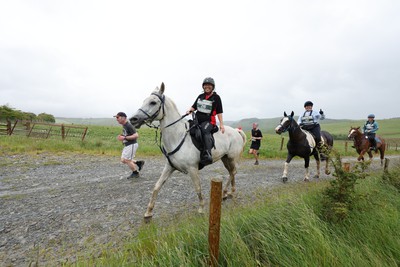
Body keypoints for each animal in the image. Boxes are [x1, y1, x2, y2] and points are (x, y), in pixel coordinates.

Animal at [130, 82, 247, 221]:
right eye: (144, 101)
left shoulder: (192, 168)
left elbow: (198, 187)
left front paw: (201, 208)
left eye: (153, 102)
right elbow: (157, 186)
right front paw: (148, 212)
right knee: (230, 172)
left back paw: (231, 192)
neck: (178, 136)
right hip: (225, 158)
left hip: (232, 158)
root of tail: (236, 131)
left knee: (233, 172)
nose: (133, 119)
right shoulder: (169, 167)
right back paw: (225, 193)